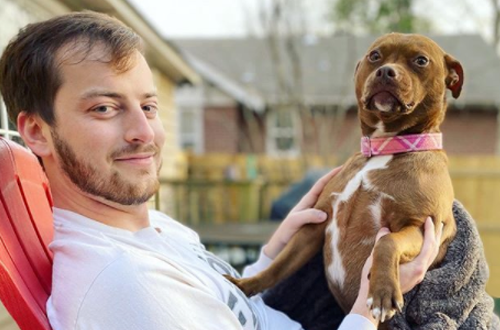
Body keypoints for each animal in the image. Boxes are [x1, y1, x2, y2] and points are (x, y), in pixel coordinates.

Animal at [225, 32, 462, 324]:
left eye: (421, 60)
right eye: (375, 55)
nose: (386, 71)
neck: (384, 147)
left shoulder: (420, 226)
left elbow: (386, 242)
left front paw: (382, 292)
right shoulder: (314, 225)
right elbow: (279, 265)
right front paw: (244, 285)